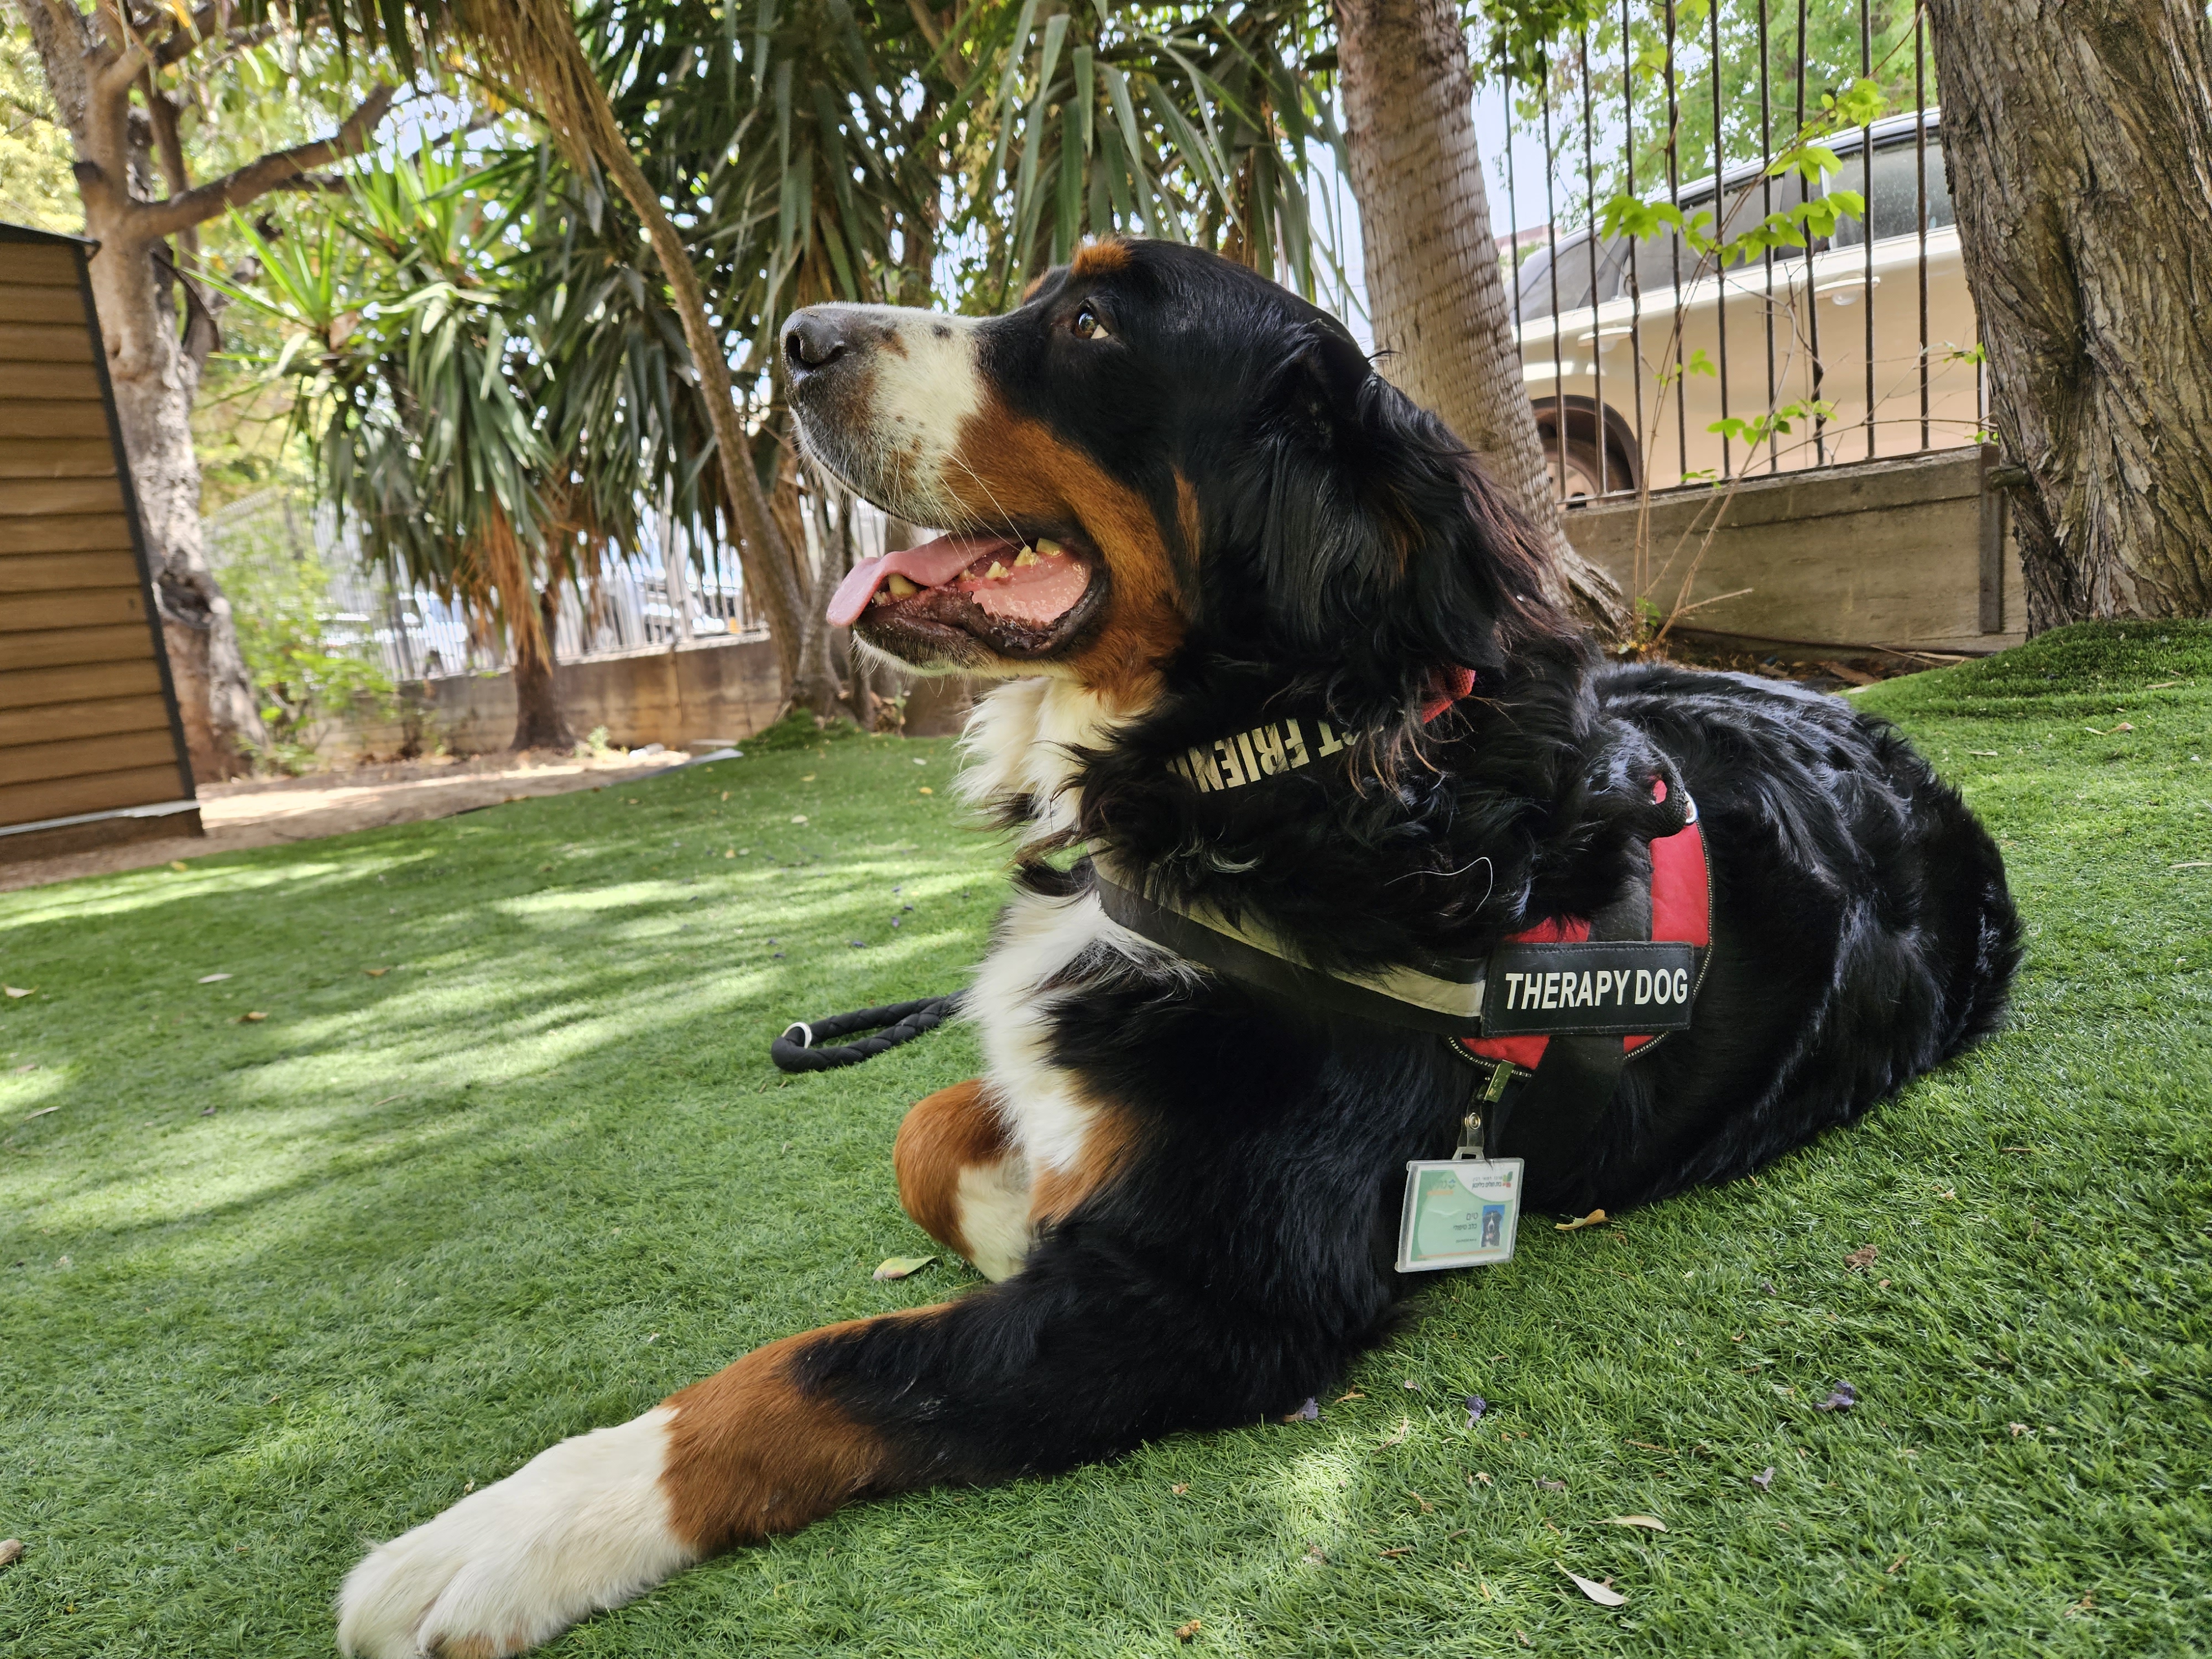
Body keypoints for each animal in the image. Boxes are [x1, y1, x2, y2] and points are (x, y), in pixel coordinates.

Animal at [336, 237, 2017, 1659]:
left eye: (1089, 323)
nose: (797, 339)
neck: (1255, 766)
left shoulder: (1222, 1296)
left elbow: (824, 1366)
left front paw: (516, 1530)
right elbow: (925, 1125)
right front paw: (1012, 1199)